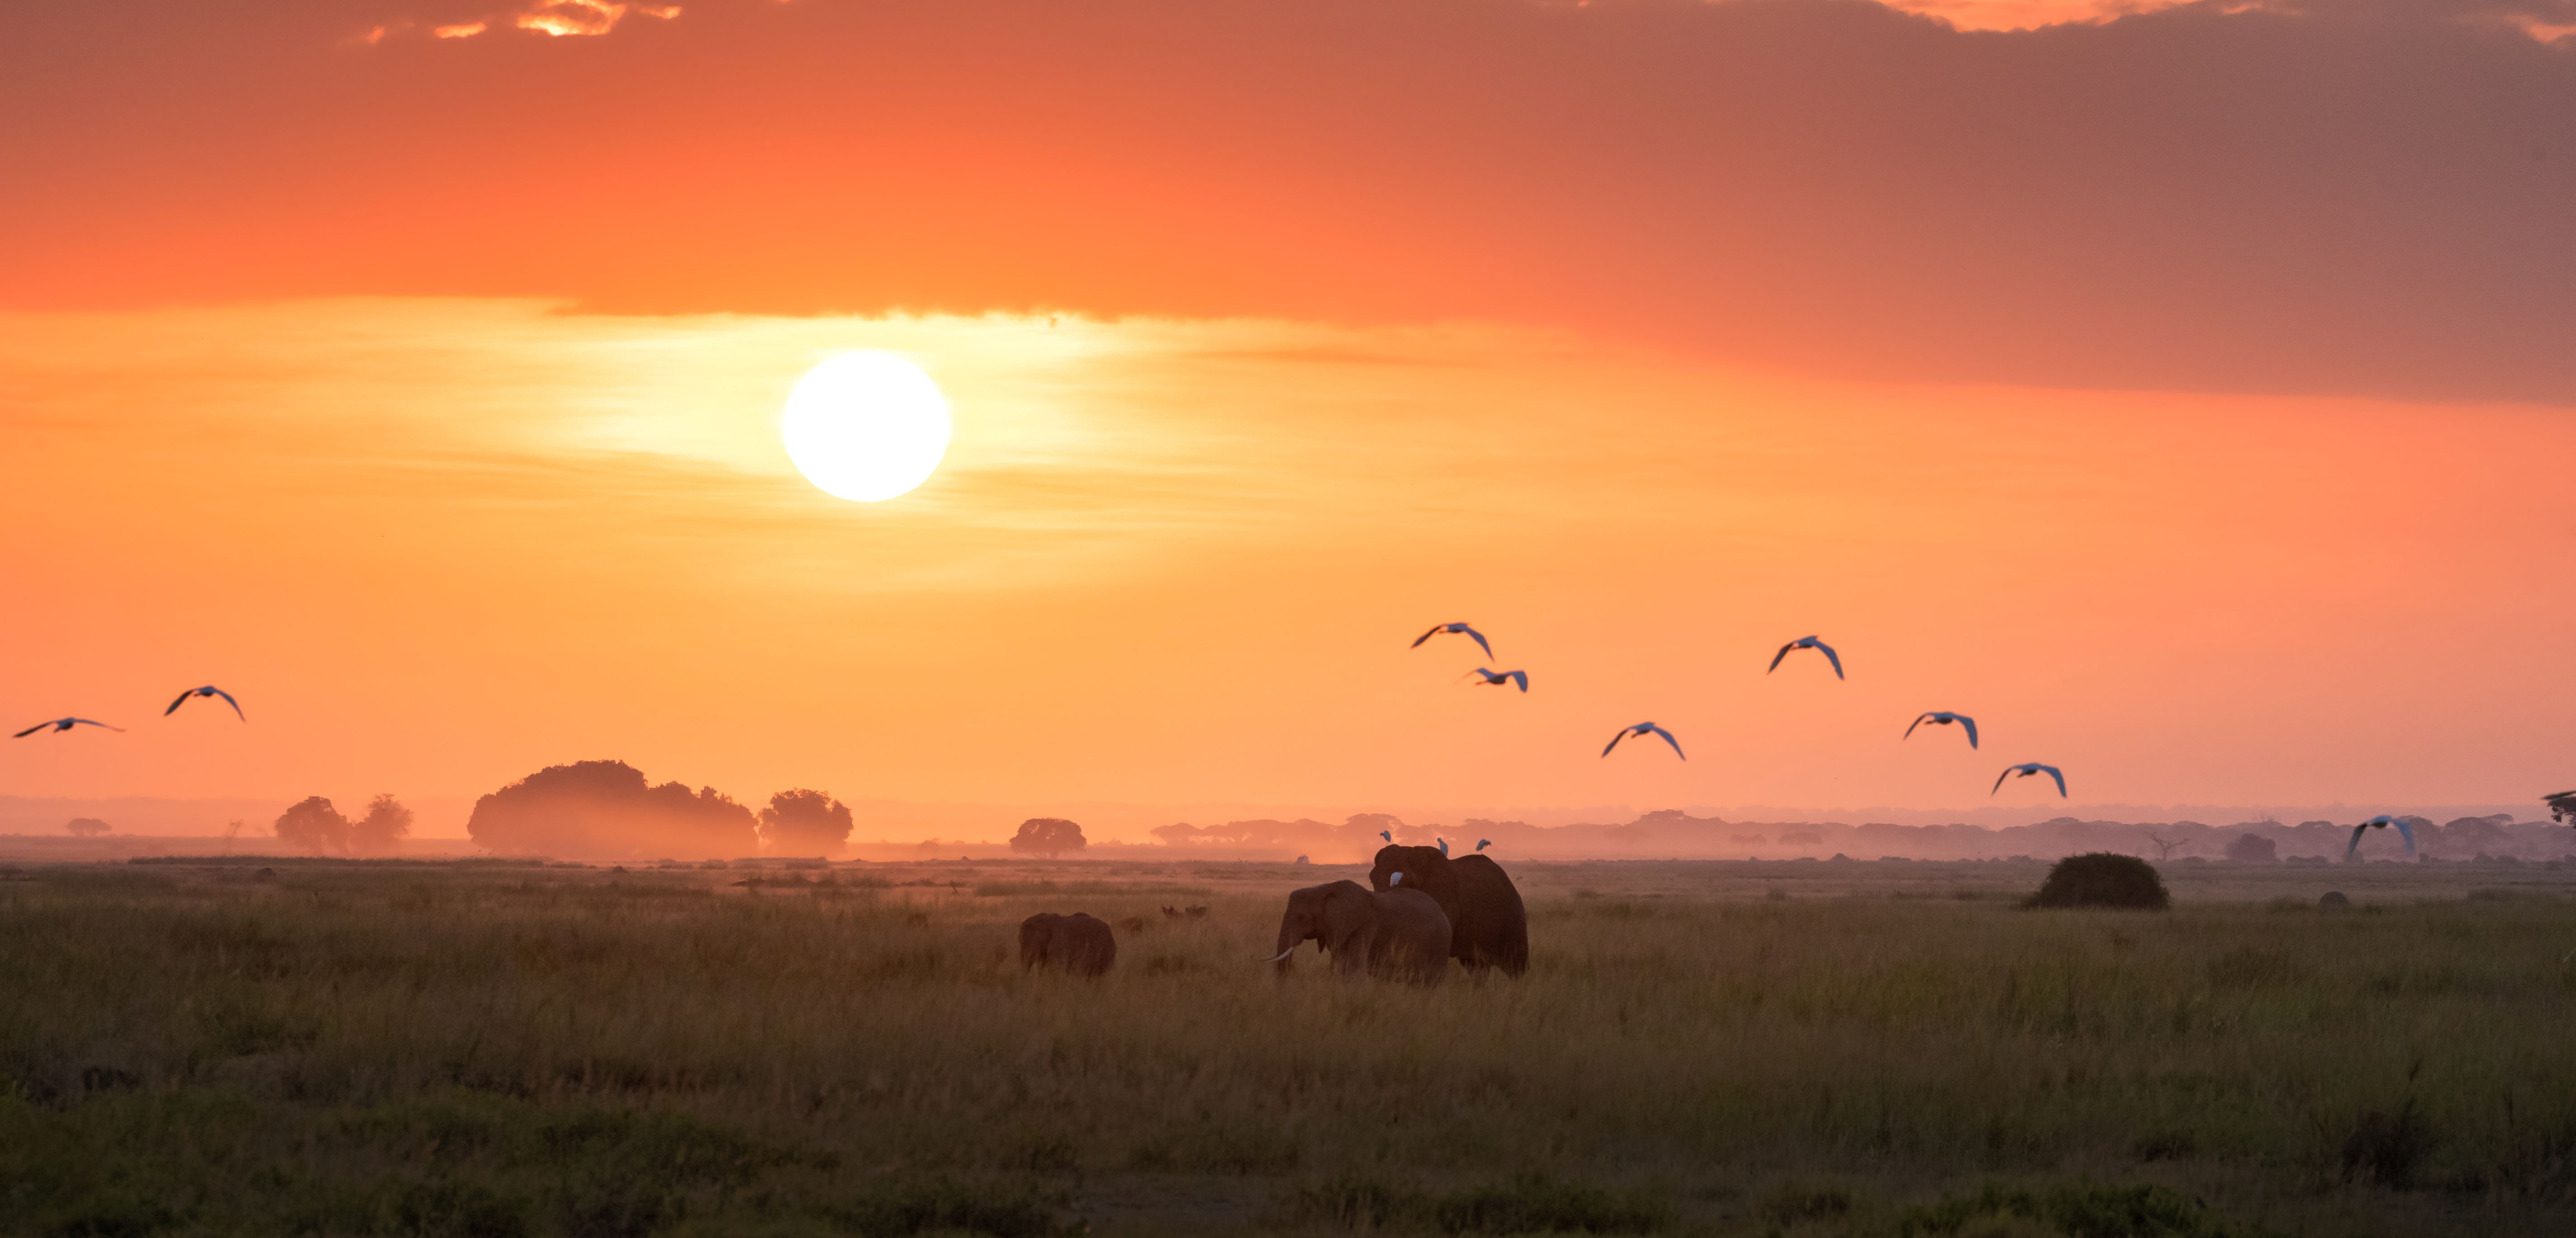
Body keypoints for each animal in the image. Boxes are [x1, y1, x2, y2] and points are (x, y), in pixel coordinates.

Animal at [1370, 839, 1525, 973]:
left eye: (1410, 883)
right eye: (1371, 879)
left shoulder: (1446, 897)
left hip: (1513, 913)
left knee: (1515, 966)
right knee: (1477, 966)